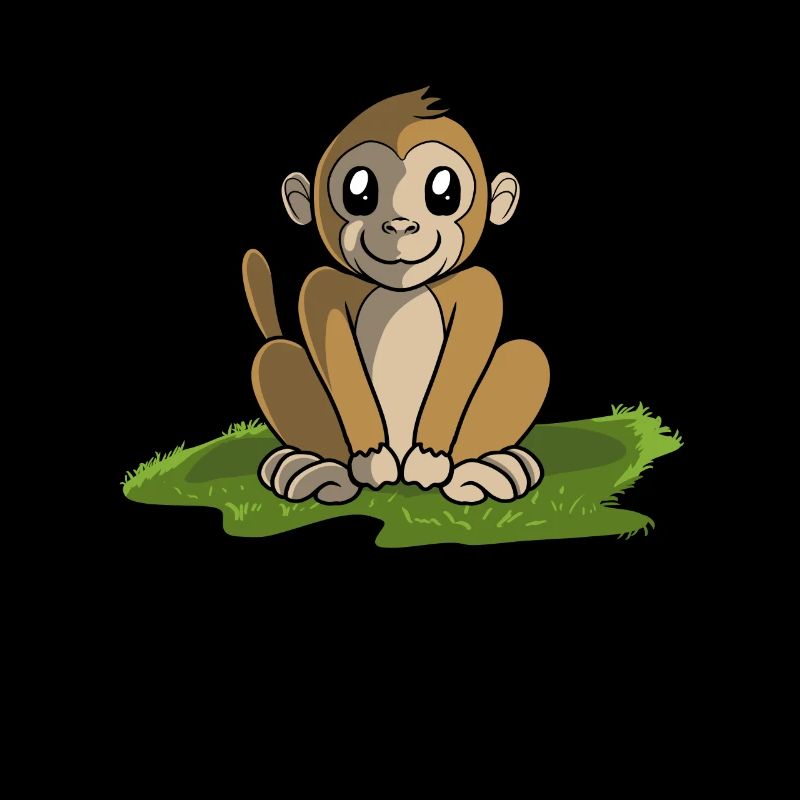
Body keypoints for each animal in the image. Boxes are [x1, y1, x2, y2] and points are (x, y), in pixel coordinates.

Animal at [243, 88, 549, 505]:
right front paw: (372, 459)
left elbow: (459, 366)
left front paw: (430, 458)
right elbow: (340, 364)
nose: (401, 224)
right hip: (279, 367)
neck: (400, 293)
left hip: (522, 368)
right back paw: (312, 469)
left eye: (444, 192)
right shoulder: (321, 290)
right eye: (359, 192)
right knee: (277, 357)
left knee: (526, 355)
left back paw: (488, 469)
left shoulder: (480, 290)